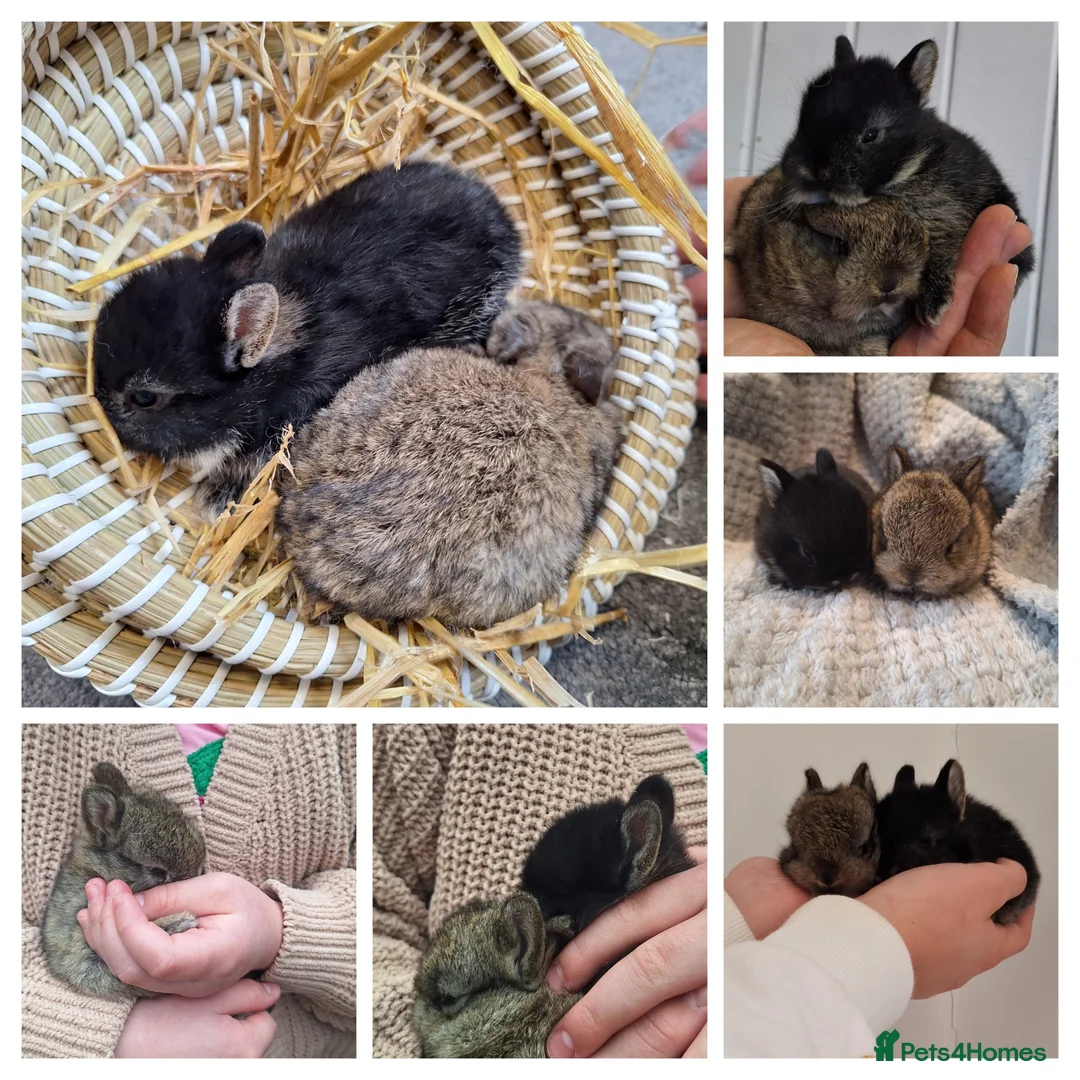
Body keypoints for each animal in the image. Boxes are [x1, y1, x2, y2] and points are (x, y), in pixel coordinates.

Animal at [778, 35, 1034, 327]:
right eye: (802, 120)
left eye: (871, 135)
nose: (814, 171)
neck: (912, 164)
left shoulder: (944, 213)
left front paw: (934, 306)